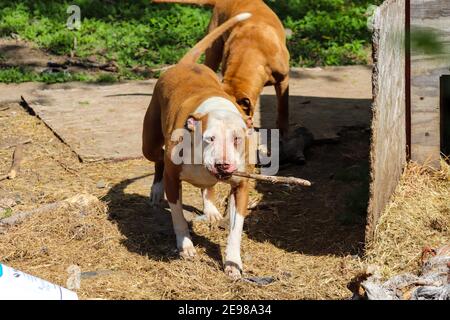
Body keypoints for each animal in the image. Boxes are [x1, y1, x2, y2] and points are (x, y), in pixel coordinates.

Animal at [141, 12, 253, 278]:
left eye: (237, 138)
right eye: (209, 138)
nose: (223, 165)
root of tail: (183, 64)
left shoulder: (241, 186)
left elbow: (236, 229)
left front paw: (233, 262)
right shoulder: (174, 179)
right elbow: (178, 217)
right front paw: (186, 246)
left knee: (207, 187)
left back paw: (210, 208)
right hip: (149, 142)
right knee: (158, 159)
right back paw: (156, 190)